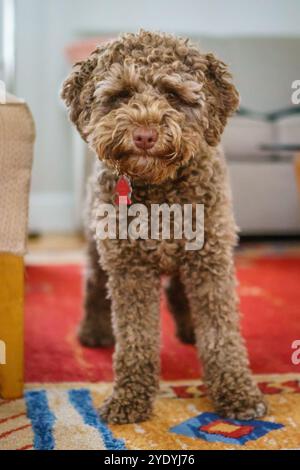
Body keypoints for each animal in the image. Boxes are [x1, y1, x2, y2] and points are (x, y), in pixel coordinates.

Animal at [61, 30, 268, 426]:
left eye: (173, 94)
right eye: (122, 94)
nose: (144, 135)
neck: (160, 190)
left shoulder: (211, 261)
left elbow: (222, 335)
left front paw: (237, 392)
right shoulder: (130, 269)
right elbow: (136, 338)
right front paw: (130, 397)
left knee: (178, 291)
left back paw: (189, 329)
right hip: (96, 244)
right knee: (93, 284)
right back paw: (94, 330)